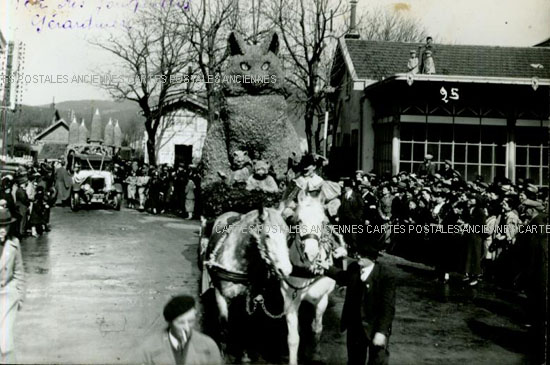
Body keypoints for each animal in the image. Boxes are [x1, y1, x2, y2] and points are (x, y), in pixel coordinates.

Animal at [280, 191, 344, 364]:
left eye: (323, 222)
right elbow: (293, 337)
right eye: (299, 221)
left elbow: (317, 329)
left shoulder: (322, 299)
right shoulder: (290, 301)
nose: (312, 254)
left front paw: (316, 354)